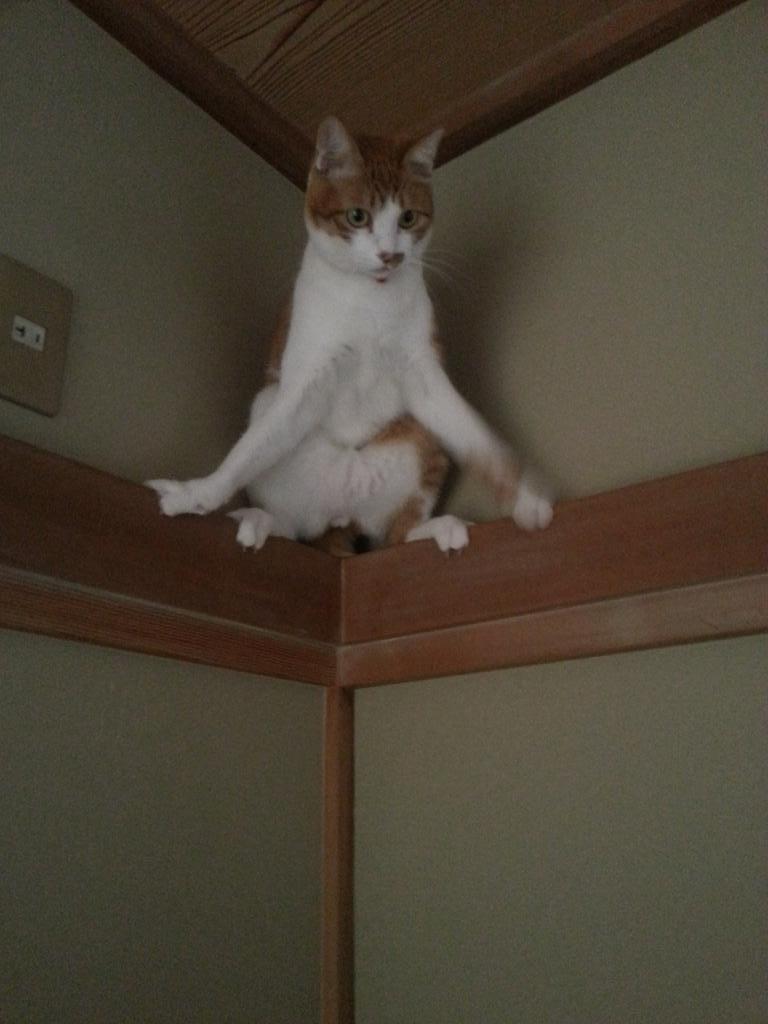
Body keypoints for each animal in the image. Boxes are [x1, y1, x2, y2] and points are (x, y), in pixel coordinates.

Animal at [147, 117, 553, 553]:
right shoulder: (308, 376)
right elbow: (249, 450)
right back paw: (259, 520)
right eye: (358, 216)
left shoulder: (422, 372)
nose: (391, 255)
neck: (370, 297)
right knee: (293, 525)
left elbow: (477, 435)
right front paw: (197, 492)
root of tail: (343, 510)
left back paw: (438, 528)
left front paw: (524, 494)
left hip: (419, 436)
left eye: (408, 218)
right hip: (268, 404)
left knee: (396, 535)